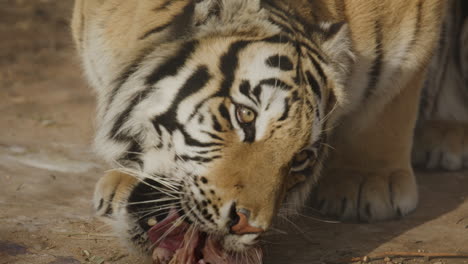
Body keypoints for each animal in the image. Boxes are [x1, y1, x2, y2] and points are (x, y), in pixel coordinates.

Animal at [71, 0, 466, 262]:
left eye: (302, 157)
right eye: (245, 115)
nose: (248, 227)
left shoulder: (414, 28)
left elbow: (389, 105)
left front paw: (368, 181)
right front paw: (121, 178)